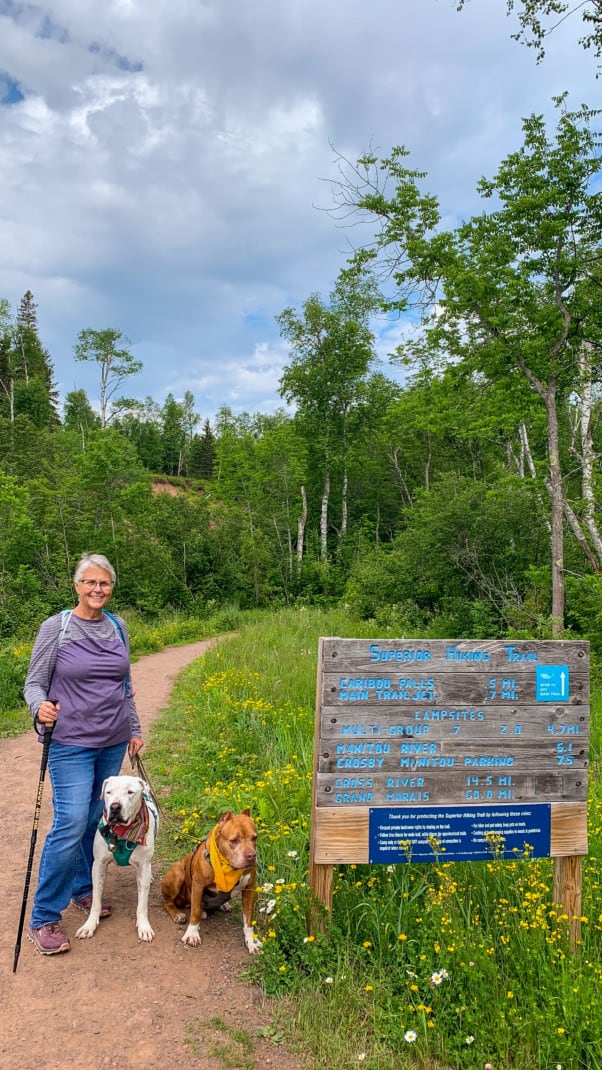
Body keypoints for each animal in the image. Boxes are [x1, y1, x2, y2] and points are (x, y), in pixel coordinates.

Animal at [74, 774, 160, 941]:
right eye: (109, 792)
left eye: (130, 792)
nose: (114, 807)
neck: (122, 834)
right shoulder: (99, 865)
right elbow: (96, 901)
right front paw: (89, 925)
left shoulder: (143, 866)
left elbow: (142, 904)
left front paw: (144, 926)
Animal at [161, 808, 259, 954]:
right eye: (234, 840)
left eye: (254, 838)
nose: (252, 856)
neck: (228, 867)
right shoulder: (198, 885)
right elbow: (195, 912)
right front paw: (192, 934)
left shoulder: (250, 888)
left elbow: (248, 918)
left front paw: (252, 942)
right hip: (177, 874)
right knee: (168, 903)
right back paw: (178, 915)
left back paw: (224, 905)